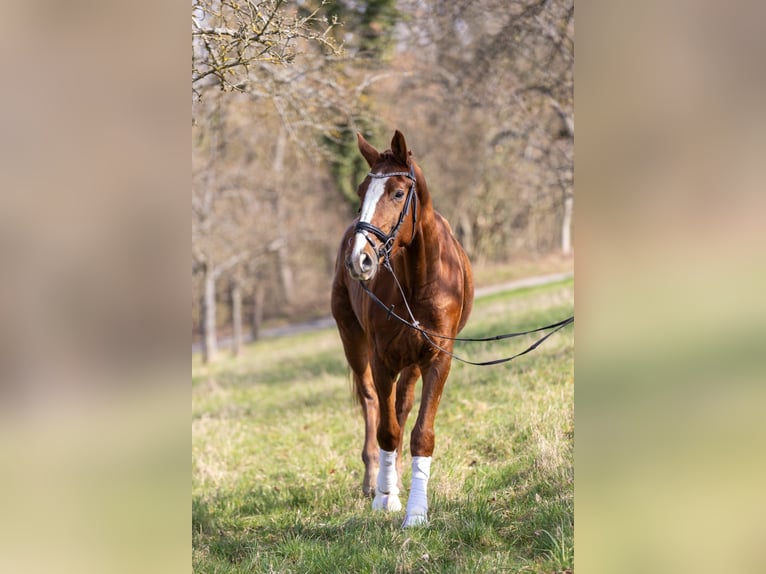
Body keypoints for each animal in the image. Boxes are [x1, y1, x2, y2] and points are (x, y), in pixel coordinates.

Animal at [331, 130, 474, 527]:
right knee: (371, 403)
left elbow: (420, 433)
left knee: (402, 404)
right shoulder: (382, 360)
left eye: (397, 193)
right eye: (361, 191)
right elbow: (387, 430)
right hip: (353, 341)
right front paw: (386, 498)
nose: (359, 259)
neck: (418, 279)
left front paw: (416, 512)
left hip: (411, 361)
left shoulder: (437, 359)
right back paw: (375, 481)